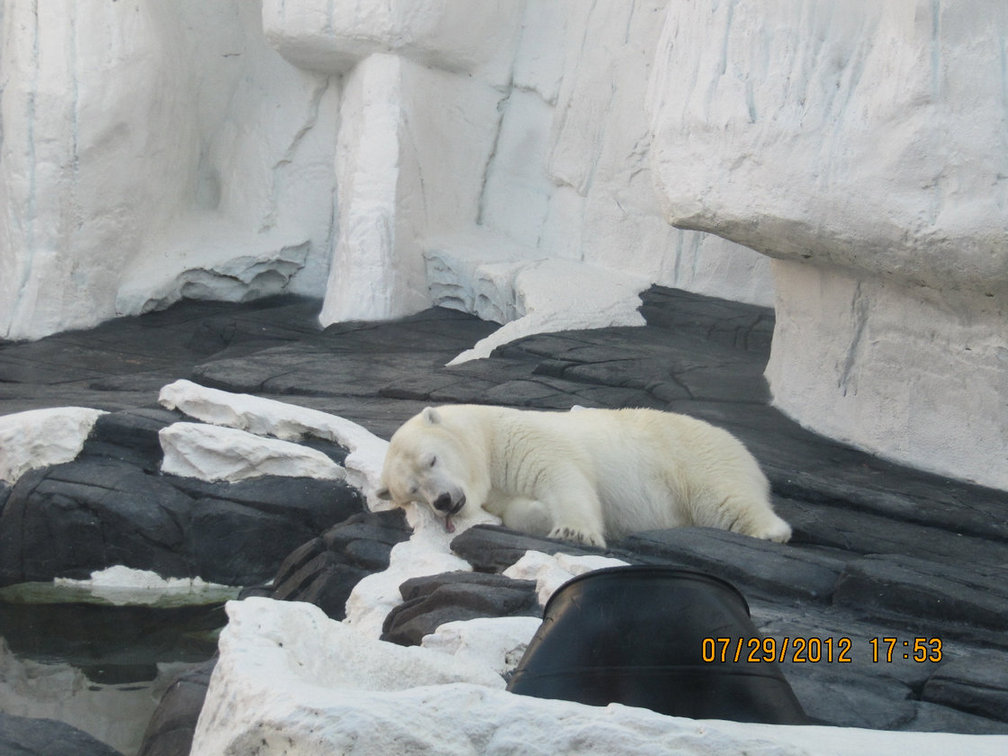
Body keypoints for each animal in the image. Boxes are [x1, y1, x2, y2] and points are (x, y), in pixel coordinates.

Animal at [374, 405, 790, 548]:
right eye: (412, 491)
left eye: (431, 460)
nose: (445, 501)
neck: (486, 435)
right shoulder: (498, 489)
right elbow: (518, 509)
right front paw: (541, 517)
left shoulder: (520, 437)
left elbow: (561, 475)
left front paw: (574, 532)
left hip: (693, 458)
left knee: (724, 497)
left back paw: (771, 532)